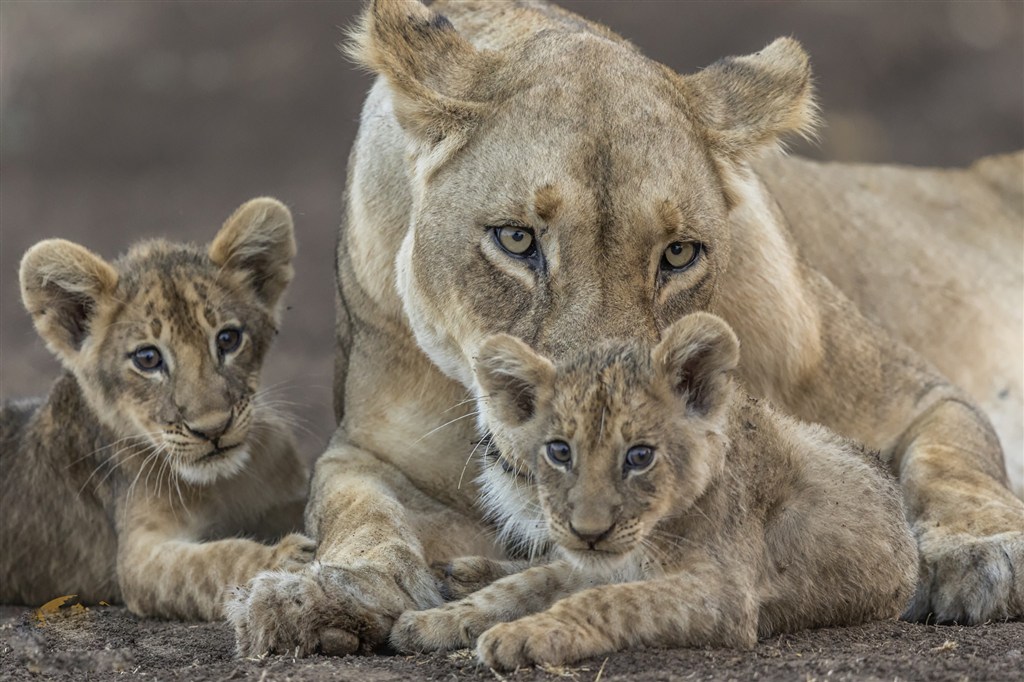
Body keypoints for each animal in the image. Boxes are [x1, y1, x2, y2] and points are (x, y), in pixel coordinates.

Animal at [228, 0, 1019, 655]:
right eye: (517, 240)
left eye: (678, 254)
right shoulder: (363, 448)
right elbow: (354, 508)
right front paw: (326, 593)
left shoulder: (912, 398)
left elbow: (955, 463)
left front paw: (987, 553)